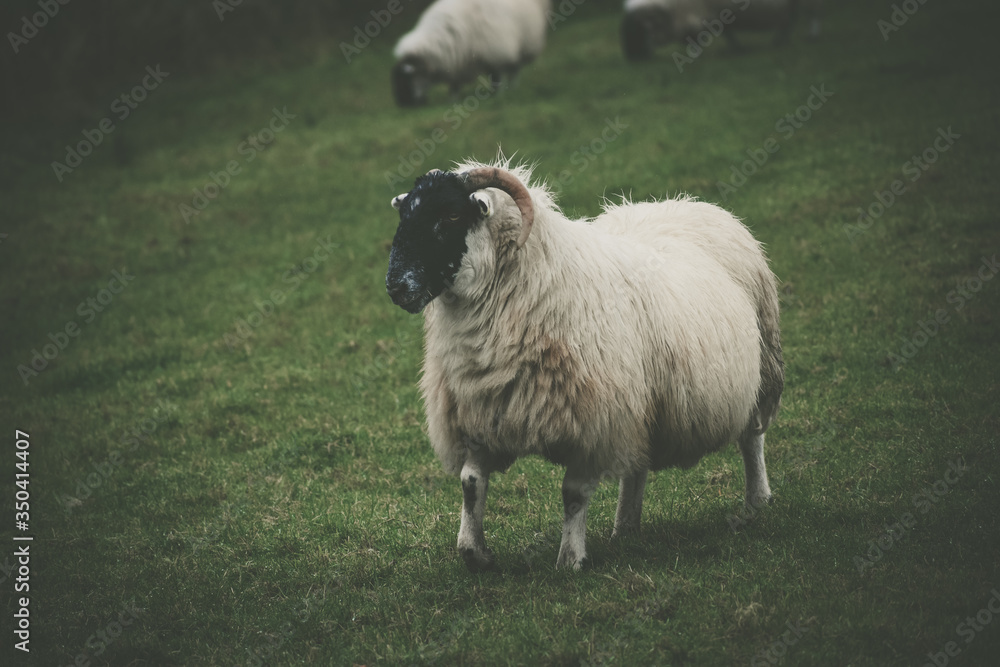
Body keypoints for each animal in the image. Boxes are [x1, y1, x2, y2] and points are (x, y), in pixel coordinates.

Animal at [384, 159, 783, 571]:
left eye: (450, 215)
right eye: (404, 213)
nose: (396, 286)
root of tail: (686, 203)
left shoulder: (592, 420)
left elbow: (573, 494)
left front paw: (570, 558)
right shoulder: (481, 411)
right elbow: (470, 482)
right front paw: (474, 551)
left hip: (762, 365)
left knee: (752, 437)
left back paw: (757, 500)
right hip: (641, 400)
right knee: (637, 461)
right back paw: (626, 525)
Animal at [391, 0, 550, 107]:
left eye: (407, 79)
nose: (403, 106)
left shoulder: (495, 53)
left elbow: (496, 78)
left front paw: (496, 97)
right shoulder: (456, 64)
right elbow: (454, 86)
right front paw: (452, 102)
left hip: (522, 43)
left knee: (515, 69)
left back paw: (513, 88)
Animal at [621, 0, 823, 62]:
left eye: (639, 29)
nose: (633, 59)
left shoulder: (700, 16)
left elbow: (695, 39)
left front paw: (694, 55)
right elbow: (729, 34)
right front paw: (737, 48)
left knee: (811, 14)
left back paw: (811, 37)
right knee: (790, 19)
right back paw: (780, 40)